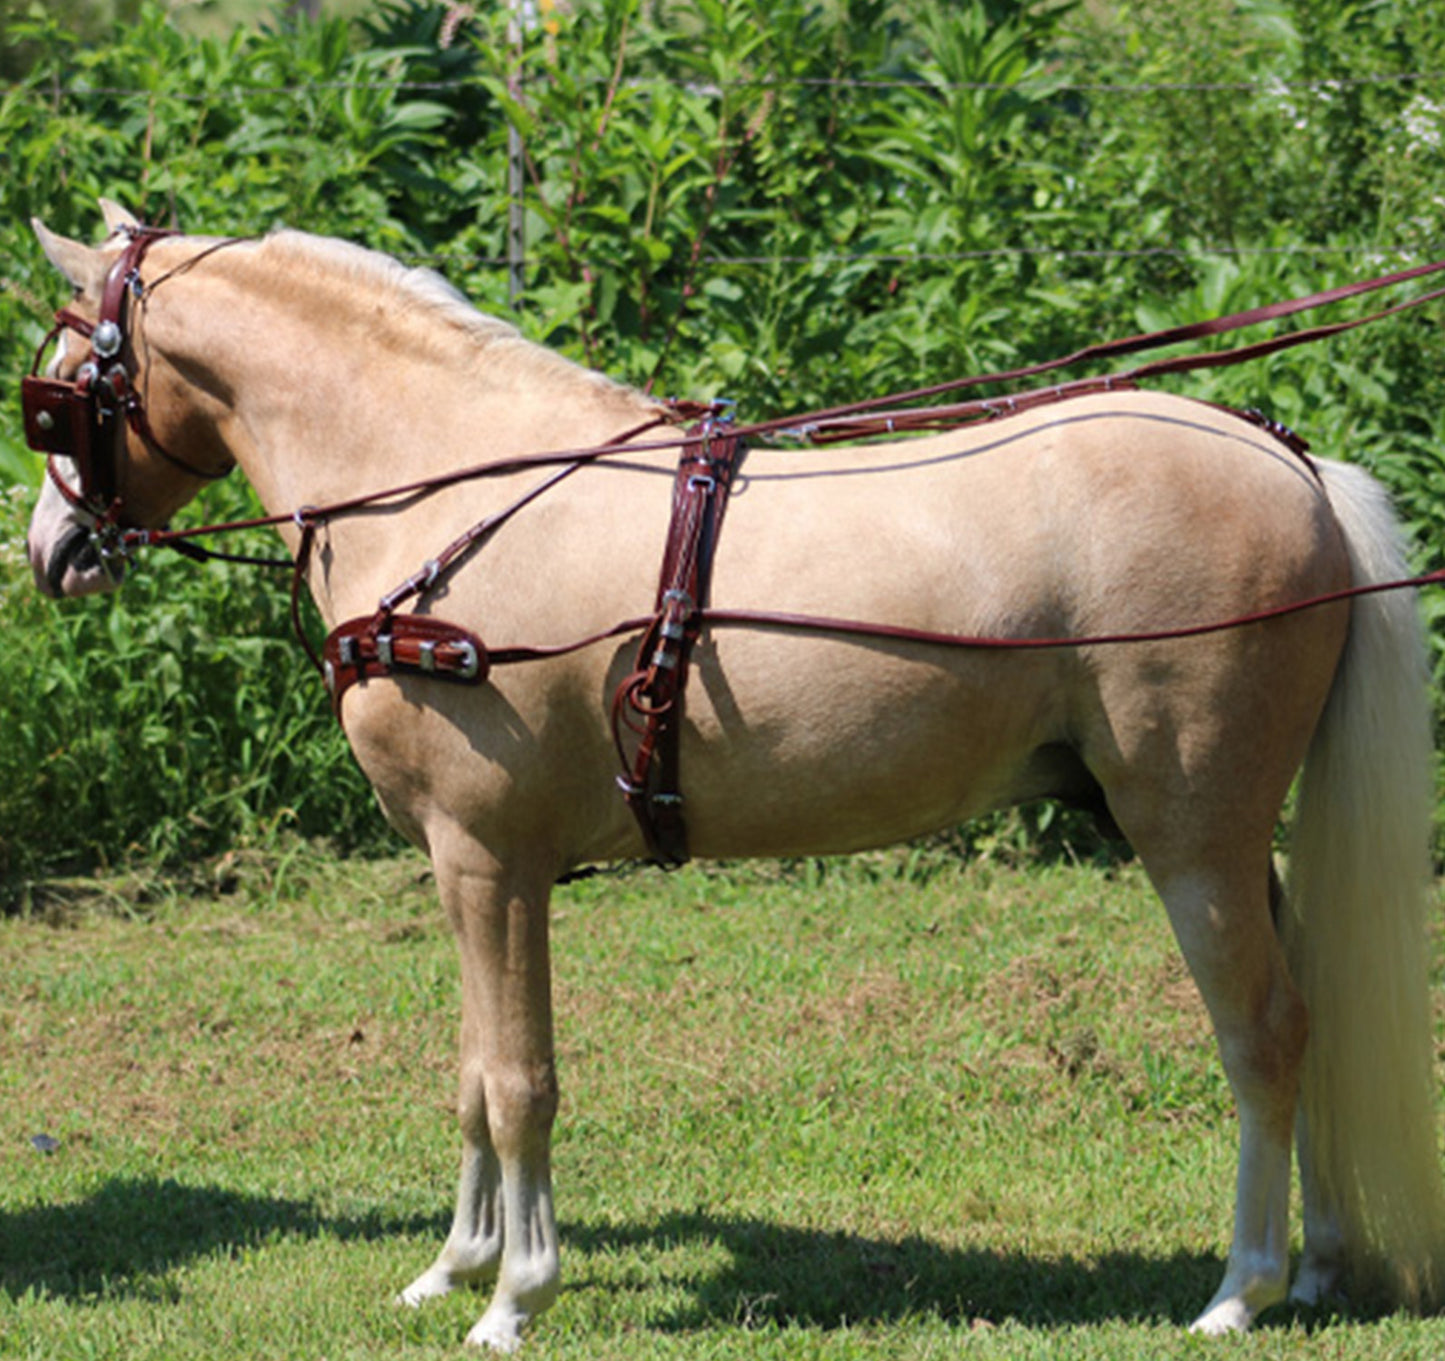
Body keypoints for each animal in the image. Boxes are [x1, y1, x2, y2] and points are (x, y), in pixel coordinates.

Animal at [19, 205, 1445, 1352]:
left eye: (61, 384)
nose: (52, 551)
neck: (441, 489)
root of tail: (1293, 465)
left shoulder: (488, 856)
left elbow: (519, 1077)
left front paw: (513, 1296)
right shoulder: (464, 866)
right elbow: (472, 1067)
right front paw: (454, 1265)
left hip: (1191, 832)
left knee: (1262, 1031)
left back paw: (1238, 1286)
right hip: (1226, 840)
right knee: (1310, 1007)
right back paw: (1317, 1264)